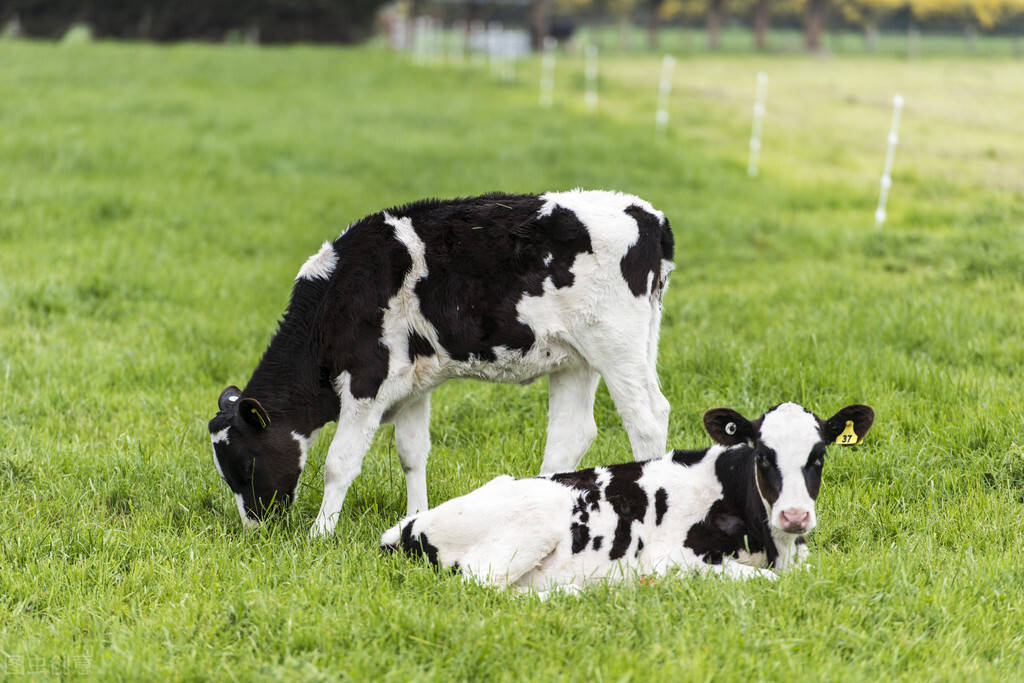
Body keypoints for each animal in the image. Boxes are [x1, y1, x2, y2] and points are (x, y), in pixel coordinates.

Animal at [205, 189, 671, 536]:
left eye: (245, 464)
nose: (256, 526)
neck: (338, 296)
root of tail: (648, 215)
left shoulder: (366, 380)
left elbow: (339, 463)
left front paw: (320, 532)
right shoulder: (414, 384)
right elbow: (412, 453)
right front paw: (414, 517)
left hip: (617, 344)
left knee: (646, 421)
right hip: (580, 358)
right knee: (574, 434)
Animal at [380, 401, 876, 593]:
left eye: (818, 457)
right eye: (763, 456)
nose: (795, 516)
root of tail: (404, 527)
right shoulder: (673, 557)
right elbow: (764, 580)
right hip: (530, 525)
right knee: (482, 586)